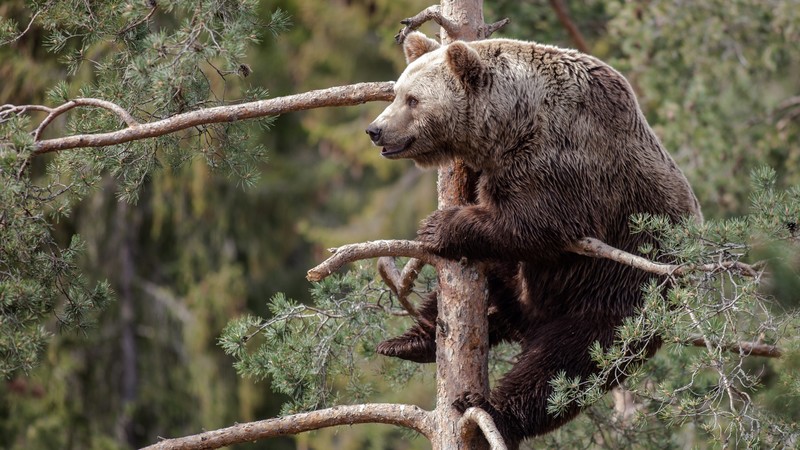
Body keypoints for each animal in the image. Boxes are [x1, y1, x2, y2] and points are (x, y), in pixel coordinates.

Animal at [365, 31, 702, 448]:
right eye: (396, 93)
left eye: (412, 99)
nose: (375, 130)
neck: (514, 123)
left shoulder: (564, 161)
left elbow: (537, 223)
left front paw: (438, 225)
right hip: (527, 284)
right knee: (483, 289)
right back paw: (411, 341)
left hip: (620, 295)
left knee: (564, 366)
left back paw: (491, 410)